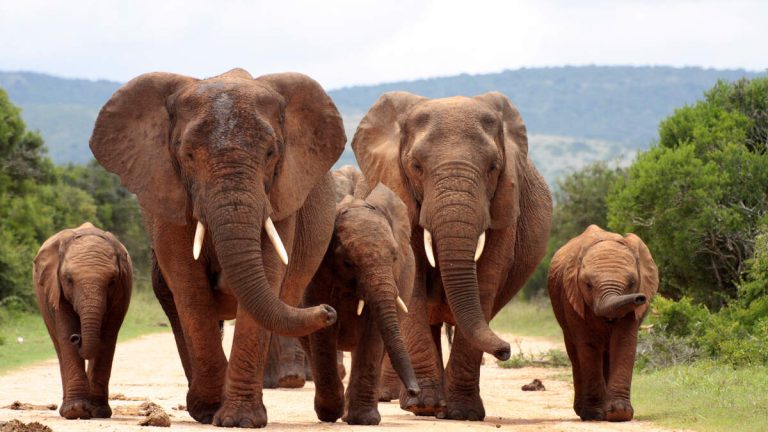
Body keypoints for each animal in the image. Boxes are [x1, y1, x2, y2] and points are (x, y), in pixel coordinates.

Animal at [33, 223, 134, 418]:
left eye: (112, 281)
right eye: (68, 280)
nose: (77, 338)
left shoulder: (122, 290)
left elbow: (108, 336)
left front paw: (98, 412)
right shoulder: (56, 287)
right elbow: (65, 331)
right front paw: (76, 411)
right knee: (58, 344)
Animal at [90, 69, 344, 426]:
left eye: (271, 154)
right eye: (188, 155)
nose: (328, 311)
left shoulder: (281, 196)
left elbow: (268, 275)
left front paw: (240, 420)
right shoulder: (168, 194)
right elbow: (189, 287)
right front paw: (211, 410)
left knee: (288, 304)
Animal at [300, 166, 420, 426]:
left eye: (395, 257)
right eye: (347, 262)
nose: (415, 391)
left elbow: (373, 330)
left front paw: (363, 419)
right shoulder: (317, 273)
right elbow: (323, 330)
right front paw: (330, 413)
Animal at [354, 91, 552, 418]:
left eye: (493, 167)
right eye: (416, 166)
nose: (506, 350)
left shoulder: (505, 205)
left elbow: (486, 279)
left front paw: (462, 413)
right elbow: (413, 281)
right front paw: (425, 406)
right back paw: (415, 402)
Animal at [544, 224, 660, 420]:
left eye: (632, 283)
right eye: (588, 285)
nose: (640, 298)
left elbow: (624, 343)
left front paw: (619, 414)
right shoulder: (572, 298)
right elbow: (588, 346)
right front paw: (595, 414)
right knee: (575, 354)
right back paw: (583, 411)